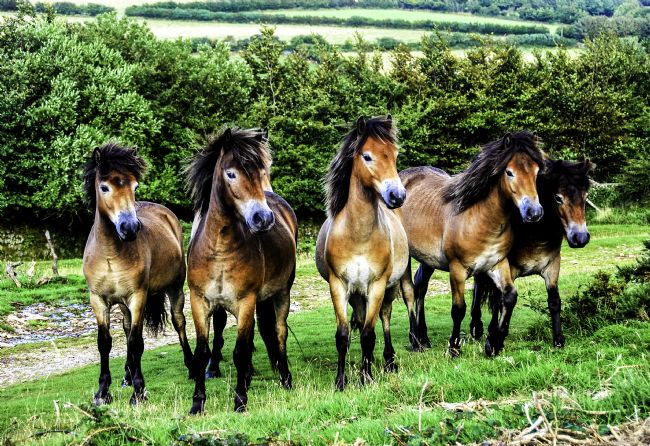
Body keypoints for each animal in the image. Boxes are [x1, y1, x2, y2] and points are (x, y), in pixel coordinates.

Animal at [82, 143, 193, 406]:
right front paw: (103, 392)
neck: (110, 254)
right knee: (125, 327)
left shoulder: (138, 297)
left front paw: (139, 392)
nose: (130, 227)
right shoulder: (98, 300)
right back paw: (126, 376)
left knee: (179, 322)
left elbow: (136, 342)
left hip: (175, 289)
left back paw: (193, 367)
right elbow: (105, 342)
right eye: (104, 187)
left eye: (134, 187)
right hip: (122, 305)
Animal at [186, 128, 297, 413]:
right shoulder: (199, 302)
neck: (219, 250)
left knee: (278, 333)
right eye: (231, 174)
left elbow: (240, 351)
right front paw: (197, 403)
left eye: (261, 170)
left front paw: (240, 400)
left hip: (281, 293)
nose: (262, 218)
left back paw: (285, 378)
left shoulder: (245, 302)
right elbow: (202, 353)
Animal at [315, 116, 410, 390]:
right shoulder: (338, 285)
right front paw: (341, 381)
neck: (357, 235)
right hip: (357, 294)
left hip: (389, 288)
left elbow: (369, 333)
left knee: (385, 319)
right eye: (367, 156)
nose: (397, 196)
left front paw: (366, 378)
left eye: (394, 154)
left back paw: (388, 361)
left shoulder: (377, 286)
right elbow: (343, 334)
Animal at [400, 131, 545, 357]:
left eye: (537, 171)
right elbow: (458, 309)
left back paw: (423, 338)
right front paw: (454, 348)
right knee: (409, 291)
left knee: (420, 285)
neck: (479, 218)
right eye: (509, 172)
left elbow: (509, 297)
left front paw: (493, 343)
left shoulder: (497, 264)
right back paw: (415, 341)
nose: (534, 212)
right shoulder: (457, 270)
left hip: (428, 259)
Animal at [471, 159, 593, 348]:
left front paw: (558, 339)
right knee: (479, 286)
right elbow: (500, 300)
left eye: (585, 196)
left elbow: (554, 301)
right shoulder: (507, 268)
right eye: (558, 198)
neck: (534, 233)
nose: (580, 237)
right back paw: (476, 327)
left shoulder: (552, 267)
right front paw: (494, 336)